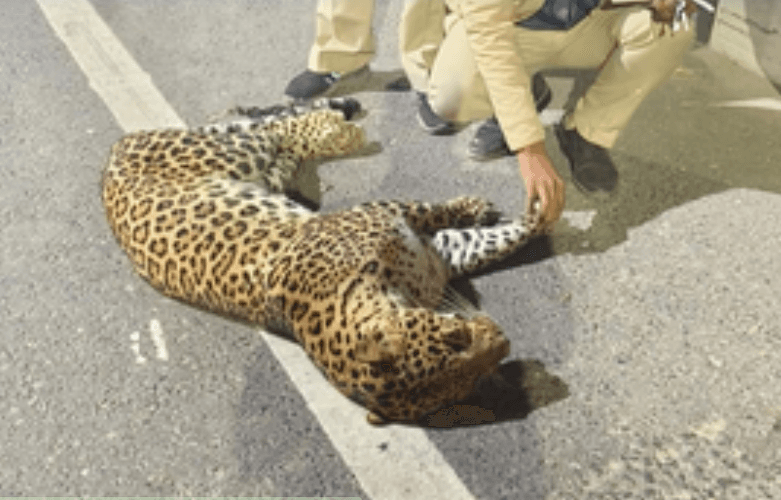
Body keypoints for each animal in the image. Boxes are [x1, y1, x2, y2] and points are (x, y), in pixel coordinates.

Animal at [101, 97, 544, 424]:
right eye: (469, 381)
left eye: (456, 337)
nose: (504, 341)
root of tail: (111, 157)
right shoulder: (409, 230)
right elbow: (469, 230)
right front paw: (528, 209)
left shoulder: (414, 237)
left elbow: (471, 227)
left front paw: (532, 203)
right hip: (247, 159)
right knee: (276, 135)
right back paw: (338, 125)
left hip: (238, 157)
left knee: (261, 125)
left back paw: (337, 111)